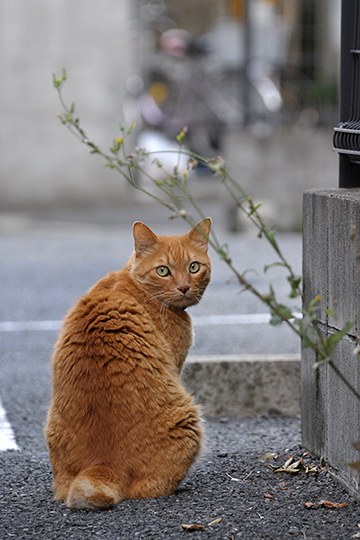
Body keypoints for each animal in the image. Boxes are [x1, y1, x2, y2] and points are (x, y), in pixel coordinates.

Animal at [44, 217, 211, 508]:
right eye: (163, 270)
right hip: (188, 418)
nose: (183, 287)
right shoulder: (176, 364)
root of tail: (103, 463)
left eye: (194, 267)